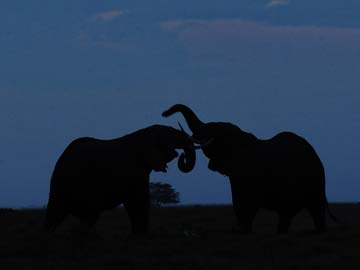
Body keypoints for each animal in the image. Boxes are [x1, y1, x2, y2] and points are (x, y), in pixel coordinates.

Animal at [45, 125, 197, 233]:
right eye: (170, 134)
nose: (182, 155)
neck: (144, 133)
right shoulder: (132, 170)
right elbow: (137, 201)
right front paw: (140, 236)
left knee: (88, 217)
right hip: (63, 183)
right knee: (56, 213)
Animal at [162, 104, 336, 233]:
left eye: (212, 131)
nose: (165, 113)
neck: (240, 137)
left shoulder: (251, 173)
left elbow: (249, 206)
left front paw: (244, 231)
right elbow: (238, 205)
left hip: (315, 183)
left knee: (314, 211)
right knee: (287, 215)